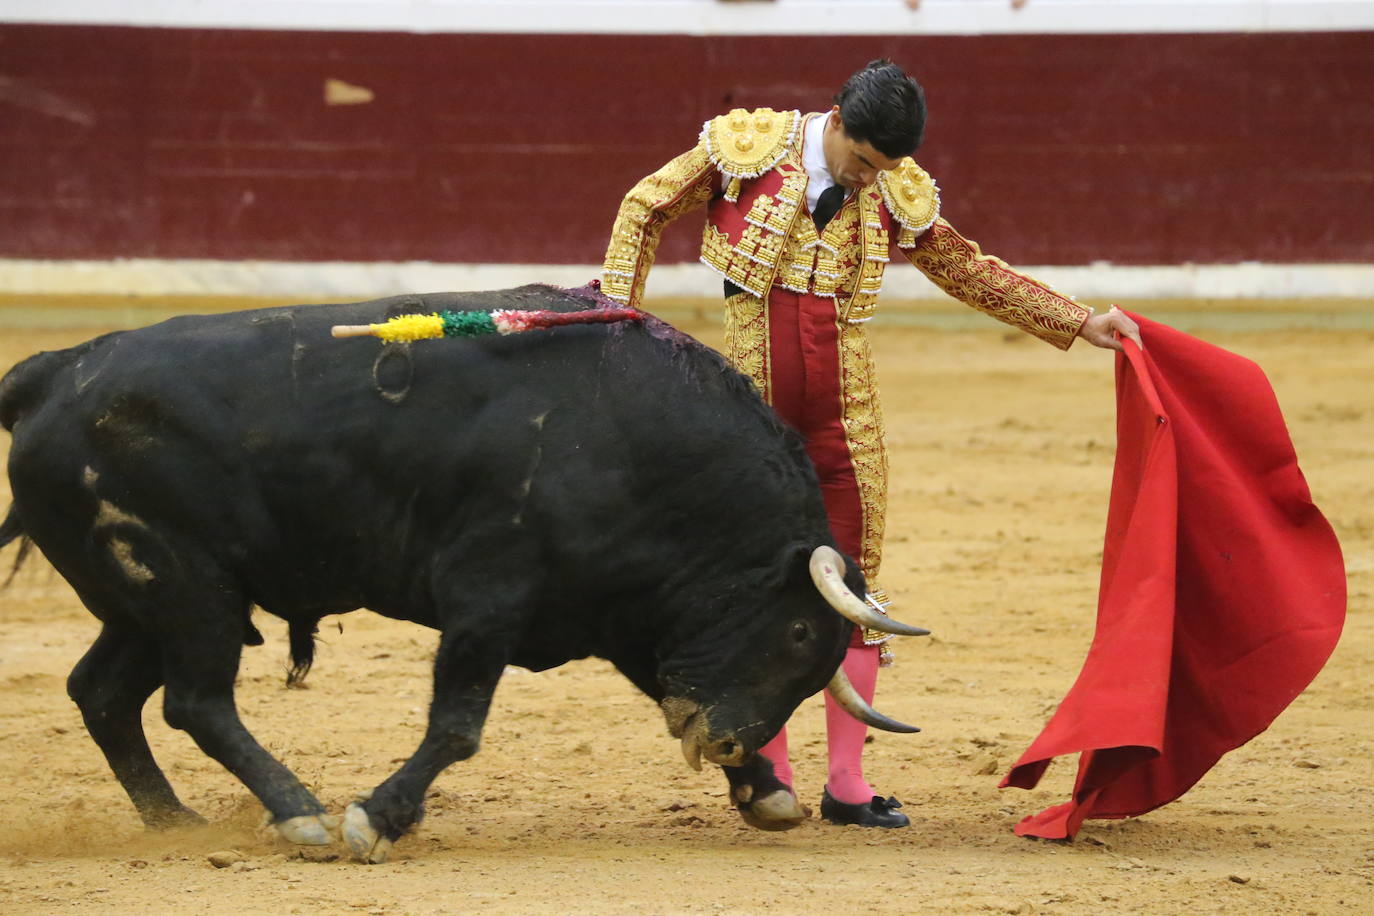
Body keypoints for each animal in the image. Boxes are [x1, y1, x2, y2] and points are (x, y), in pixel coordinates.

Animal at [2, 284, 923, 862]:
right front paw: (375, 821)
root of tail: (52, 373)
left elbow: (659, 688)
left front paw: (765, 791)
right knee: (195, 702)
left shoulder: (620, 610)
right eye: (798, 631)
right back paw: (300, 816)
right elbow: (456, 725)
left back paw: (175, 821)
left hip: (145, 600)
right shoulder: (488, 597)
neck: (633, 442)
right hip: (188, 588)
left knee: (103, 693)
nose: (729, 740)